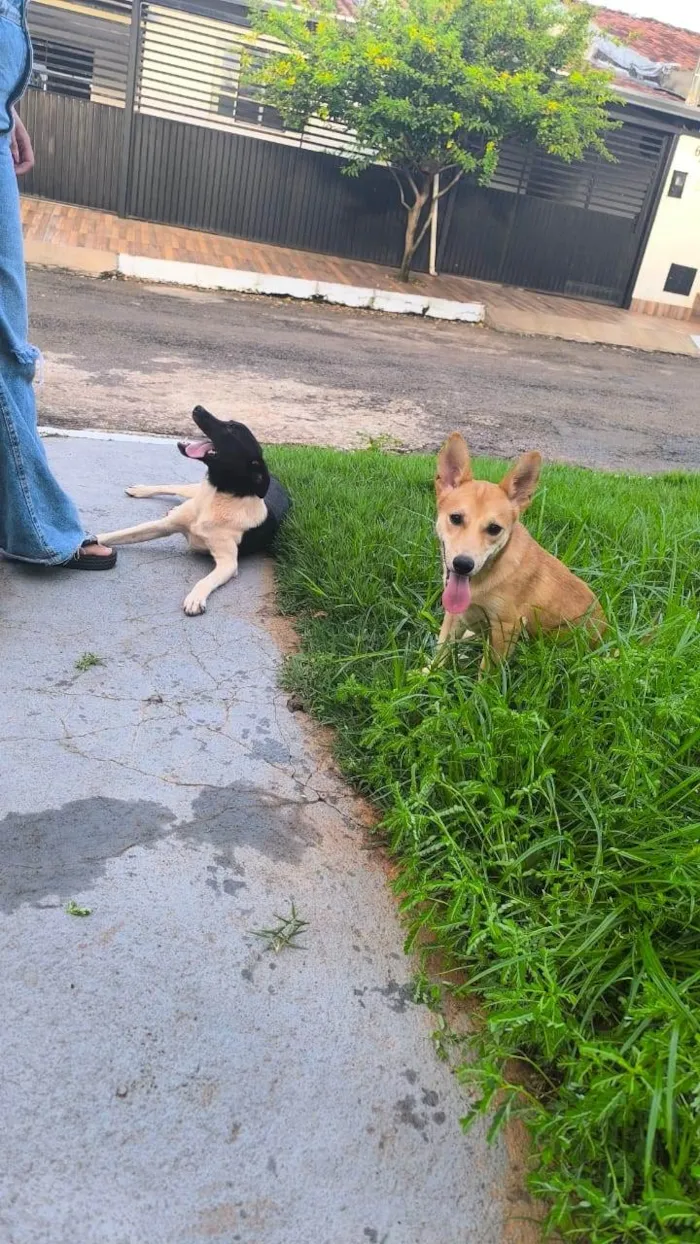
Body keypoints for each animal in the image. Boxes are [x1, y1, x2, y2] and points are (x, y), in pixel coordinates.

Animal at [96, 405, 288, 614]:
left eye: (231, 428)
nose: (198, 407)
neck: (217, 497)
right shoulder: (162, 526)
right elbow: (120, 533)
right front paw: (91, 540)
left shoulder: (228, 562)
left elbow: (205, 581)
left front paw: (196, 598)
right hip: (191, 489)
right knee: (171, 487)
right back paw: (141, 490)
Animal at [432, 432, 601, 661]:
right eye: (456, 518)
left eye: (494, 528)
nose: (463, 564)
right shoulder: (454, 614)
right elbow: (441, 652)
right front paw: (426, 670)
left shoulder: (506, 627)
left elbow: (488, 669)